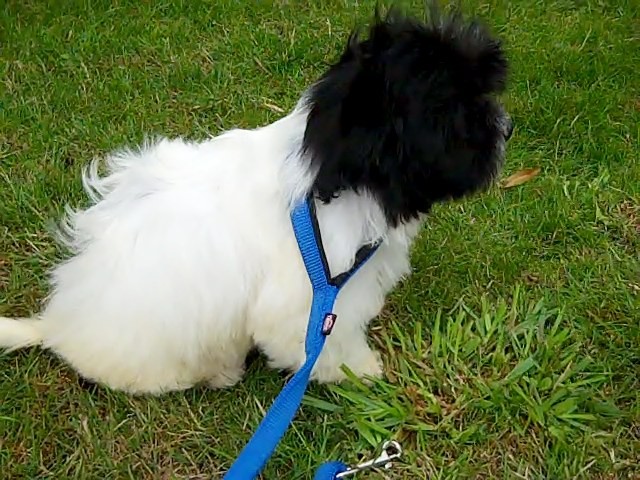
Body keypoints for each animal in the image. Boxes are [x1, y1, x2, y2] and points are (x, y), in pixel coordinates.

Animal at [0, 9, 510, 394]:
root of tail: (59, 324)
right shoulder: (313, 297)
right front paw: (360, 370)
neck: (327, 170)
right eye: (449, 109)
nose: (505, 129)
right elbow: (321, 341)